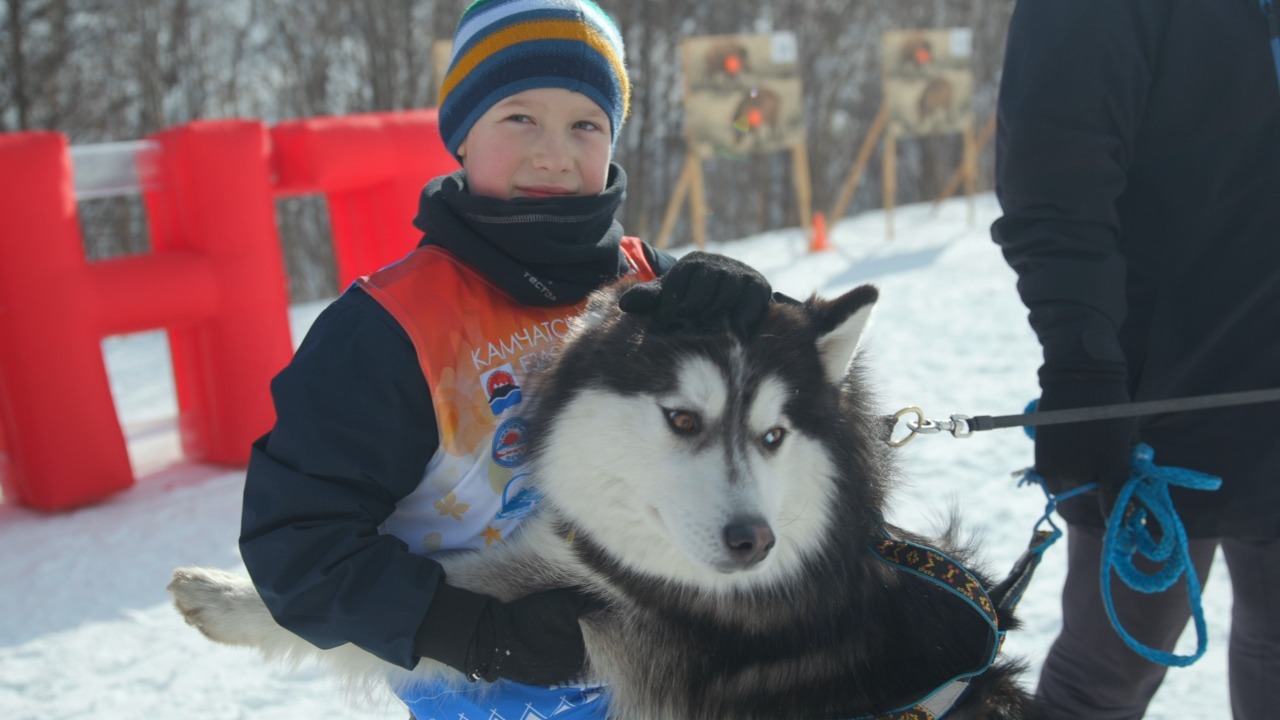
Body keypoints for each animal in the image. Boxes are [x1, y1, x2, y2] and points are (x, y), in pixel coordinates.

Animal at [170, 281, 1039, 717]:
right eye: (682, 418)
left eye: (772, 436)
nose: (751, 539)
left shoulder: (609, 623)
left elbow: (433, 592)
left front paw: (225, 599)